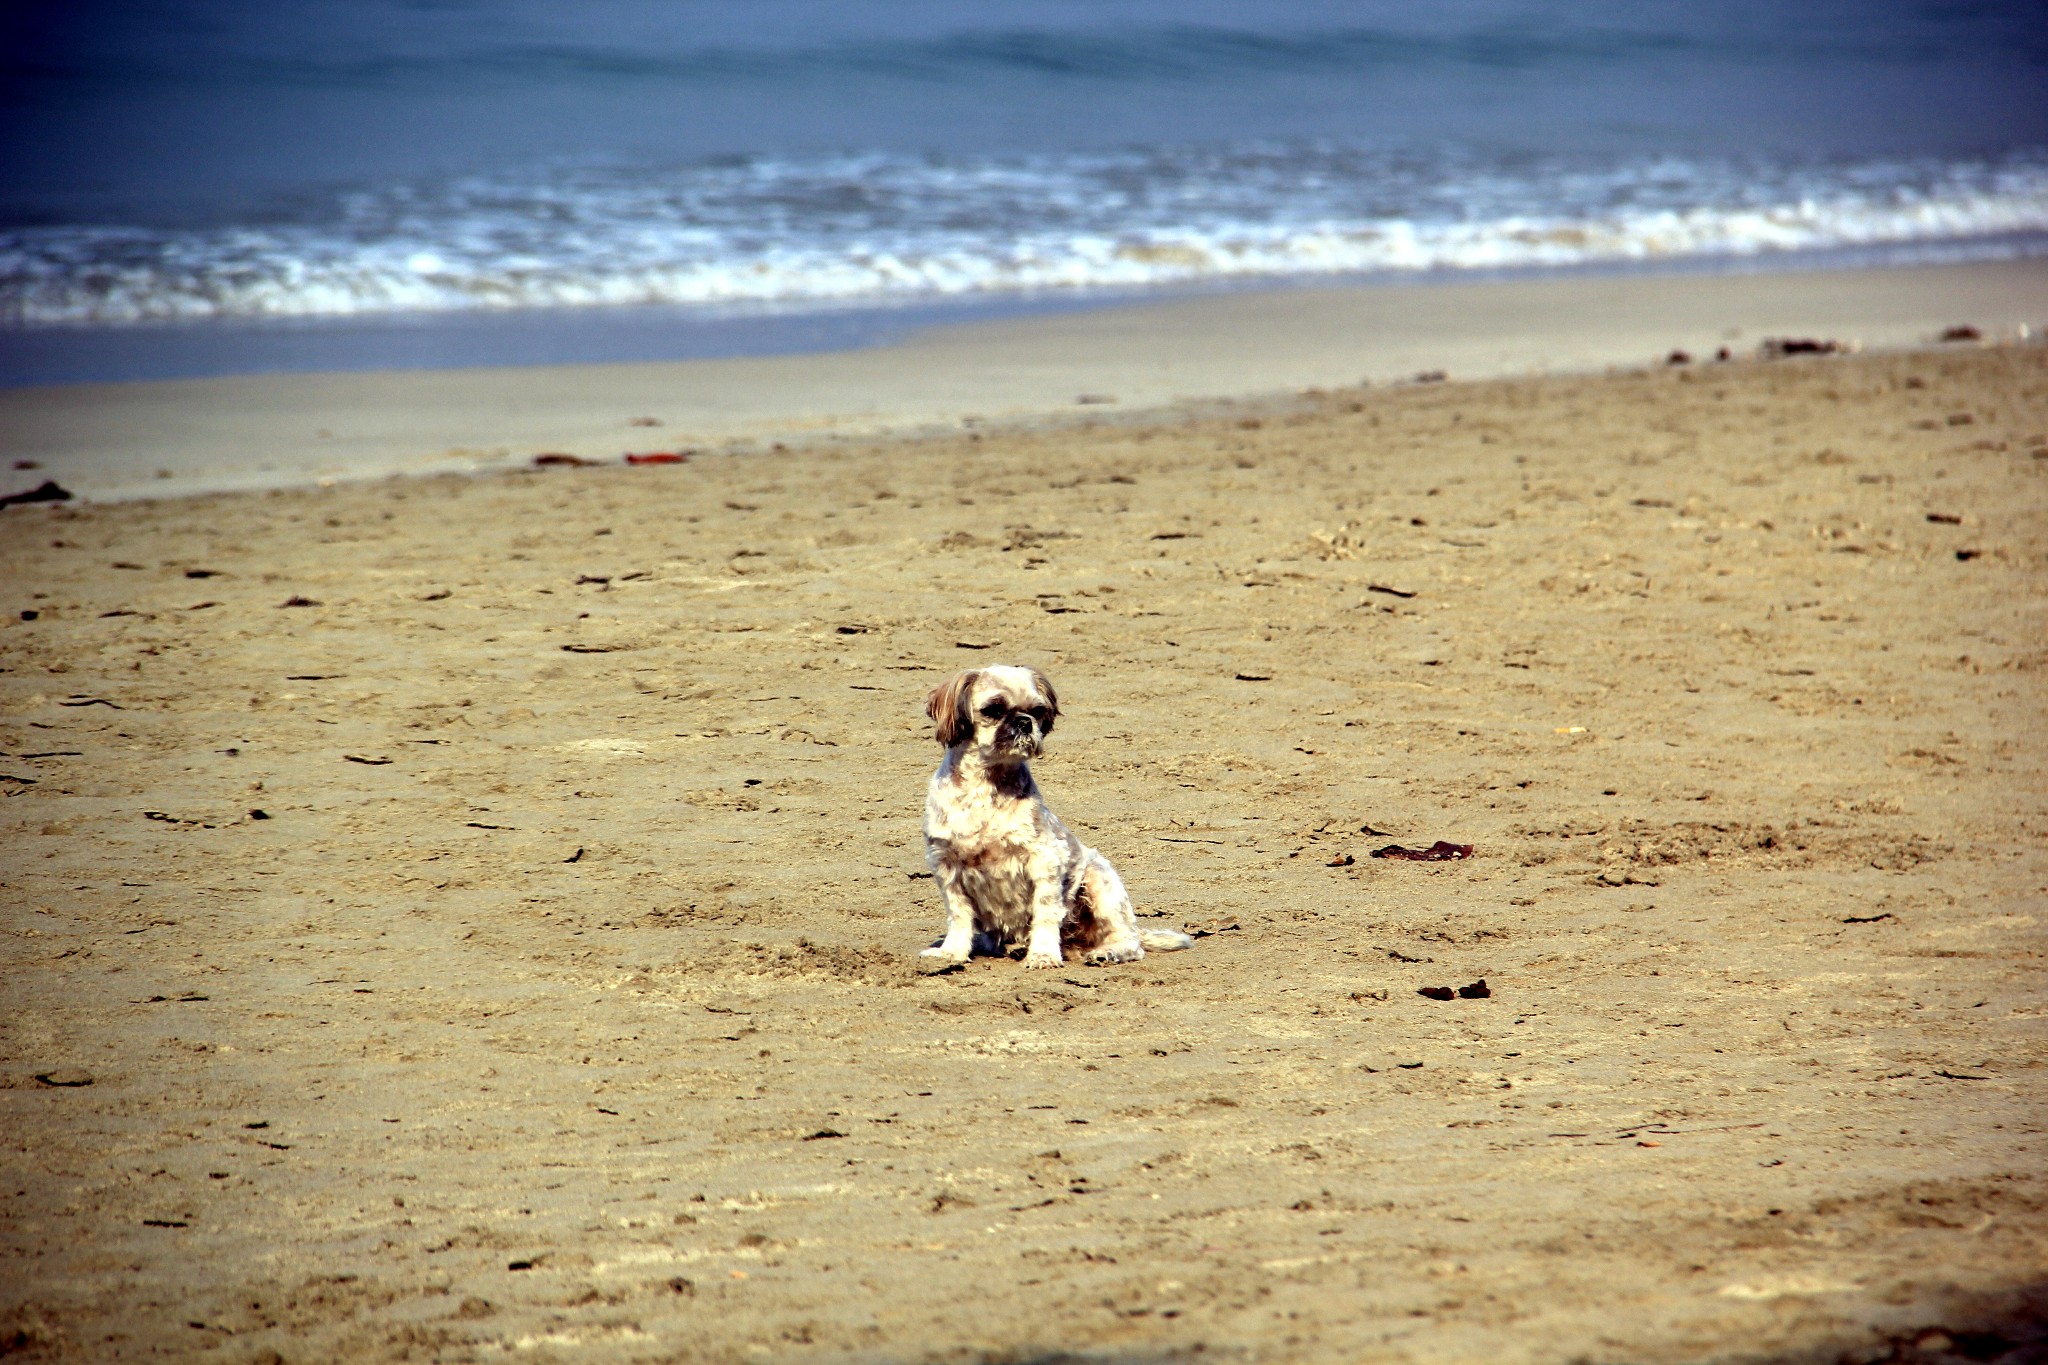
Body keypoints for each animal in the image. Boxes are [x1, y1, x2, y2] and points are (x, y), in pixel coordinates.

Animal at [921, 663, 1196, 970]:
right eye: (993, 709)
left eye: (1038, 710)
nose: (1024, 722)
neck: (985, 786)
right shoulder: (947, 866)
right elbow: (959, 916)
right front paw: (952, 952)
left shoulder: (1044, 860)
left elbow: (1045, 912)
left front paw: (1043, 954)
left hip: (1099, 882)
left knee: (1129, 942)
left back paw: (1105, 952)